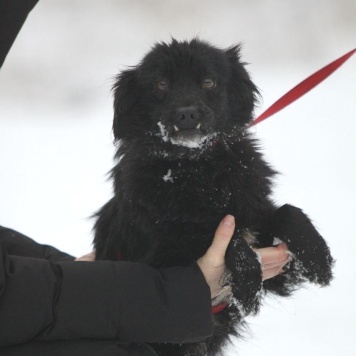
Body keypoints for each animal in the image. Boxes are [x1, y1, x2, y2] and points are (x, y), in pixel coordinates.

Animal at [94, 37, 334, 354]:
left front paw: (318, 256)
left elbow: (287, 212)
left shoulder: (277, 269)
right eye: (161, 84)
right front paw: (247, 280)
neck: (198, 170)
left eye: (208, 81)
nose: (187, 114)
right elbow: (216, 235)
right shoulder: (161, 257)